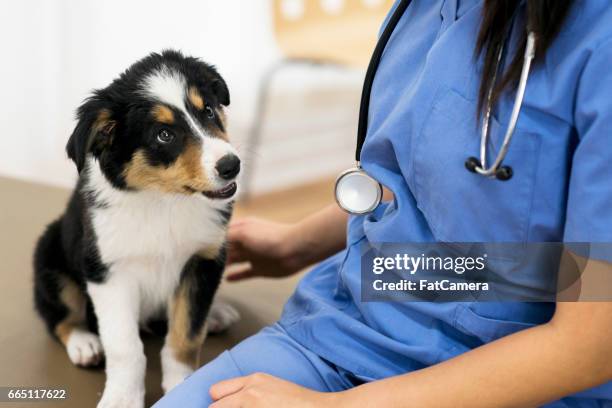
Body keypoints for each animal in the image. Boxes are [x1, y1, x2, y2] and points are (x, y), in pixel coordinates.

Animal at [32, 51, 239, 408]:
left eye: (209, 111)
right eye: (164, 135)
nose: (231, 166)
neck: (163, 201)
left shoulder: (203, 260)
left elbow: (185, 335)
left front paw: (182, 384)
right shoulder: (109, 272)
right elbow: (124, 347)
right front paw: (122, 399)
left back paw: (216, 313)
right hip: (49, 252)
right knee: (59, 316)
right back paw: (84, 342)